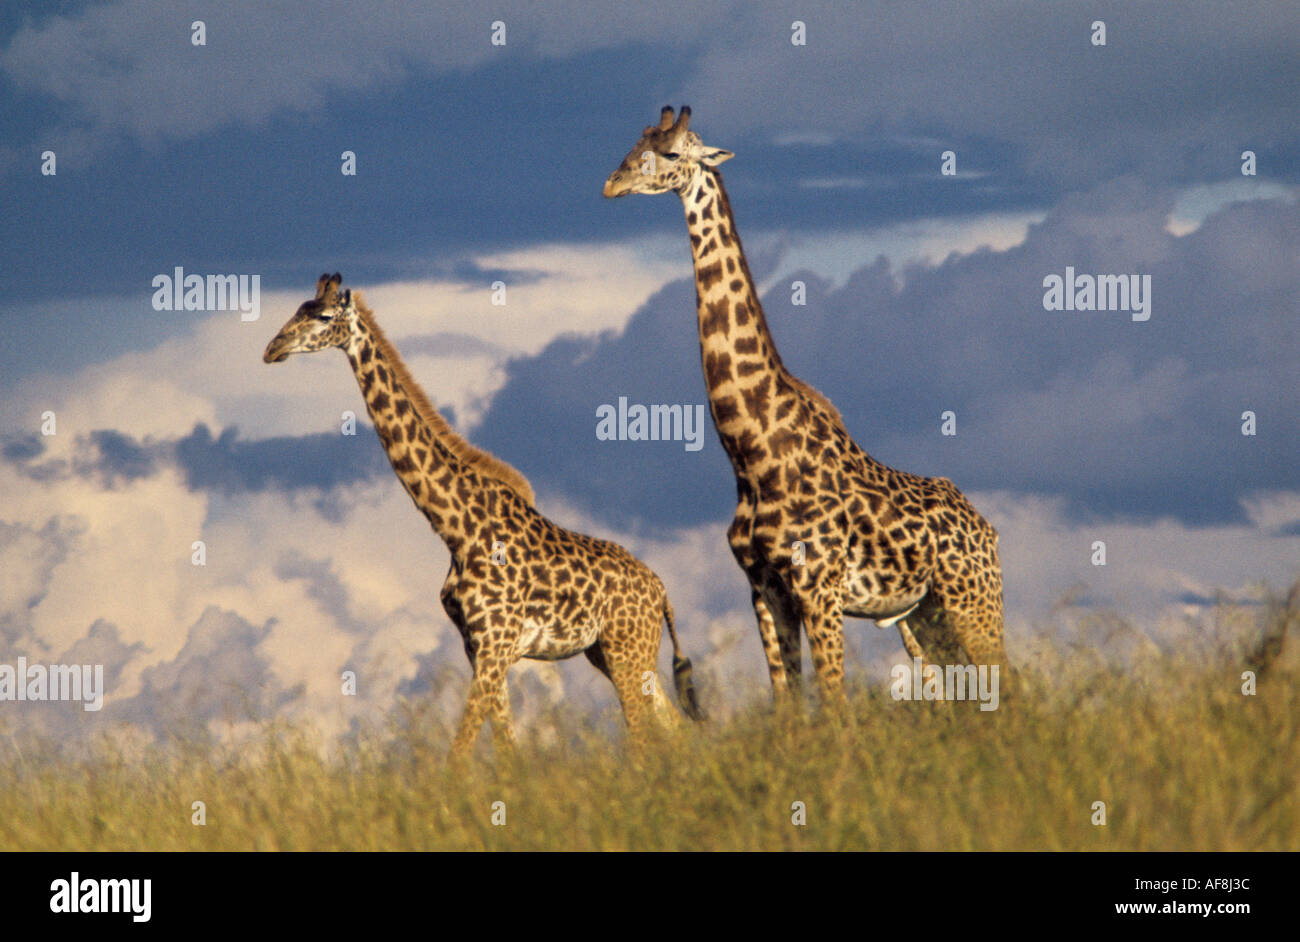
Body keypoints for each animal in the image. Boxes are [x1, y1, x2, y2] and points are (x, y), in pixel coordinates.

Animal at [263, 274, 707, 758]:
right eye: (297, 309)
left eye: (323, 316)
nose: (271, 349)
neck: (456, 529)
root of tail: (662, 593)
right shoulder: (478, 648)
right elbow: (507, 746)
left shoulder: (495, 645)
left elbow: (460, 751)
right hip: (610, 653)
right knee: (675, 728)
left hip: (627, 650)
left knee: (643, 739)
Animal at [603, 106, 1008, 701]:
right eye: (634, 146)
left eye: (672, 153)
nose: (613, 184)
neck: (751, 453)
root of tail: (986, 528)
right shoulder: (763, 590)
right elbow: (787, 704)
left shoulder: (819, 589)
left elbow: (835, 701)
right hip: (925, 614)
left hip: (973, 600)